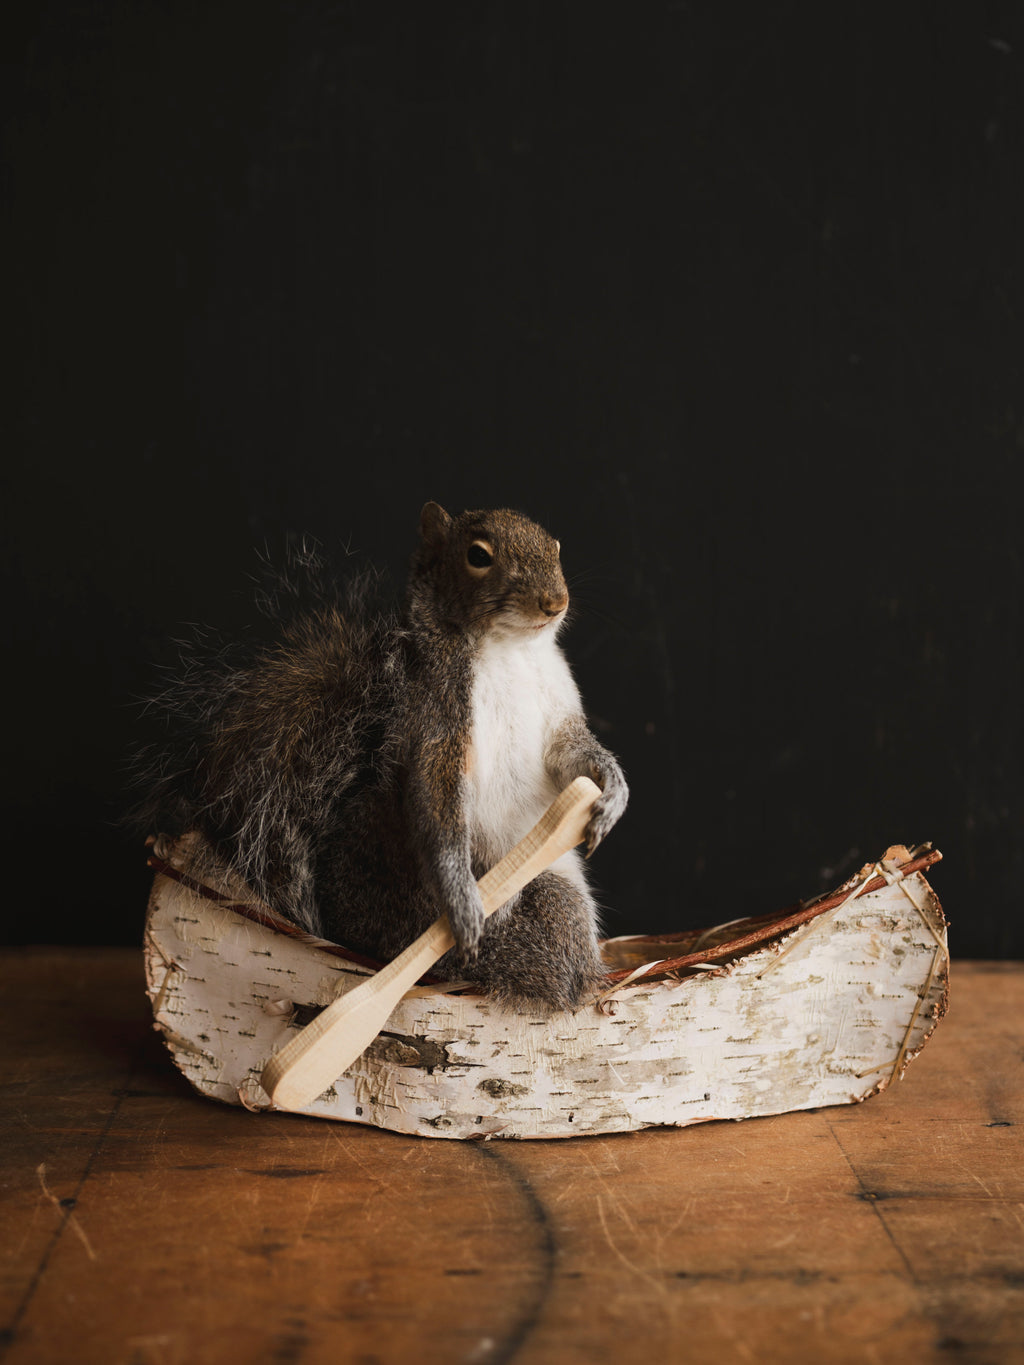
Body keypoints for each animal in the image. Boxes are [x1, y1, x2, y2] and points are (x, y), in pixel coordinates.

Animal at [135, 503, 629, 1009]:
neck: (512, 649)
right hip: (542, 916)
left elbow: (569, 753)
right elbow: (436, 801)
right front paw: (462, 899)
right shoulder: (439, 714)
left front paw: (613, 792)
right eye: (478, 555)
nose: (555, 602)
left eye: (555, 546)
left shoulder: (558, 710)